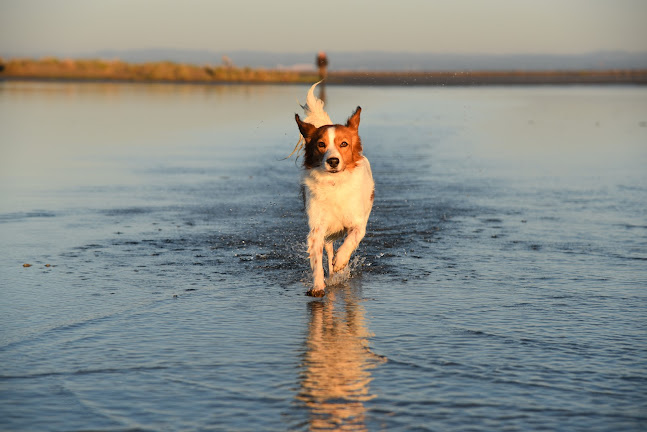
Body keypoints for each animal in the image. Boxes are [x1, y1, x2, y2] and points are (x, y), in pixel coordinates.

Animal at [294, 82, 374, 296]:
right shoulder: (317, 228)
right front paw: (318, 285)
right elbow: (317, 260)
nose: (333, 161)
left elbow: (352, 239)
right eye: (321, 144)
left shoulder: (358, 223)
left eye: (344, 144)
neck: (334, 183)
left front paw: (341, 260)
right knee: (328, 252)